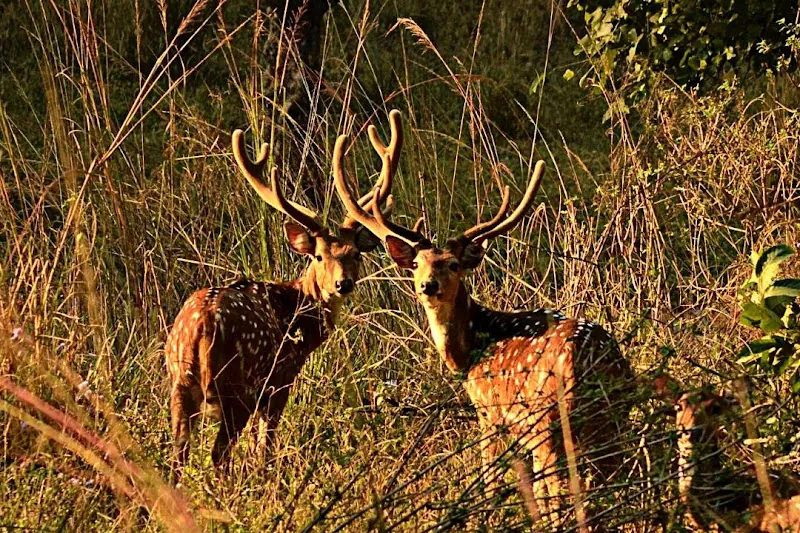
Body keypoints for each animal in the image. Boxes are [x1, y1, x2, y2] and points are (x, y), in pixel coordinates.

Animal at [164, 111, 404, 482]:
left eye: (354, 254)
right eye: (318, 256)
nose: (343, 284)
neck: (297, 309)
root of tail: (198, 329)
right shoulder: (280, 380)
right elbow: (265, 447)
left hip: (178, 385)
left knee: (178, 457)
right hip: (236, 387)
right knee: (220, 454)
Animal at [333, 137, 635, 525]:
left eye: (453, 264)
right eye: (416, 263)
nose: (427, 285)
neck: (469, 352)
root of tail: (592, 359)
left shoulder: (488, 411)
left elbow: (491, 474)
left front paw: (488, 514)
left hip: (548, 420)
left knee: (557, 484)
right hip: (611, 418)